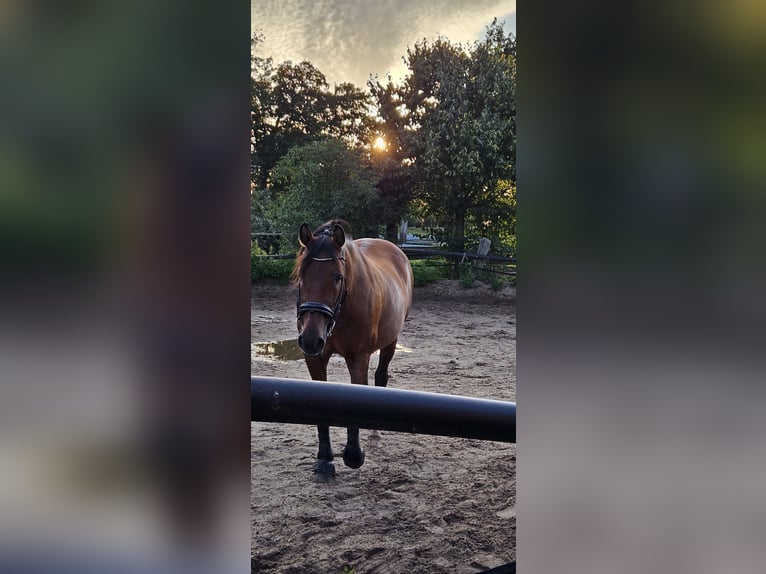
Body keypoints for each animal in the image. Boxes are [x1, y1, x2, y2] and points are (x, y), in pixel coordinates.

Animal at [293, 220, 414, 479]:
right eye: (301, 275)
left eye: (338, 277)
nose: (310, 339)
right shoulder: (315, 358)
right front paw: (324, 460)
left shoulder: (358, 357)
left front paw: (353, 455)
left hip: (390, 341)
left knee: (380, 377)